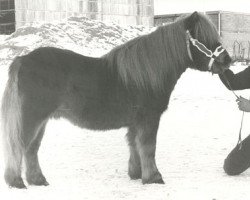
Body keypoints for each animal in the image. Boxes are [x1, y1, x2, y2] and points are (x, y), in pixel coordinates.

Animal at [1, 11, 230, 188]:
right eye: (203, 38)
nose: (228, 60)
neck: (147, 73)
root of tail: (22, 60)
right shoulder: (149, 119)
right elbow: (148, 147)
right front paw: (154, 177)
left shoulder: (136, 123)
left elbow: (135, 145)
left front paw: (137, 174)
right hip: (32, 118)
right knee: (19, 146)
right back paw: (17, 182)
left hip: (40, 122)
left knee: (31, 149)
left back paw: (38, 180)